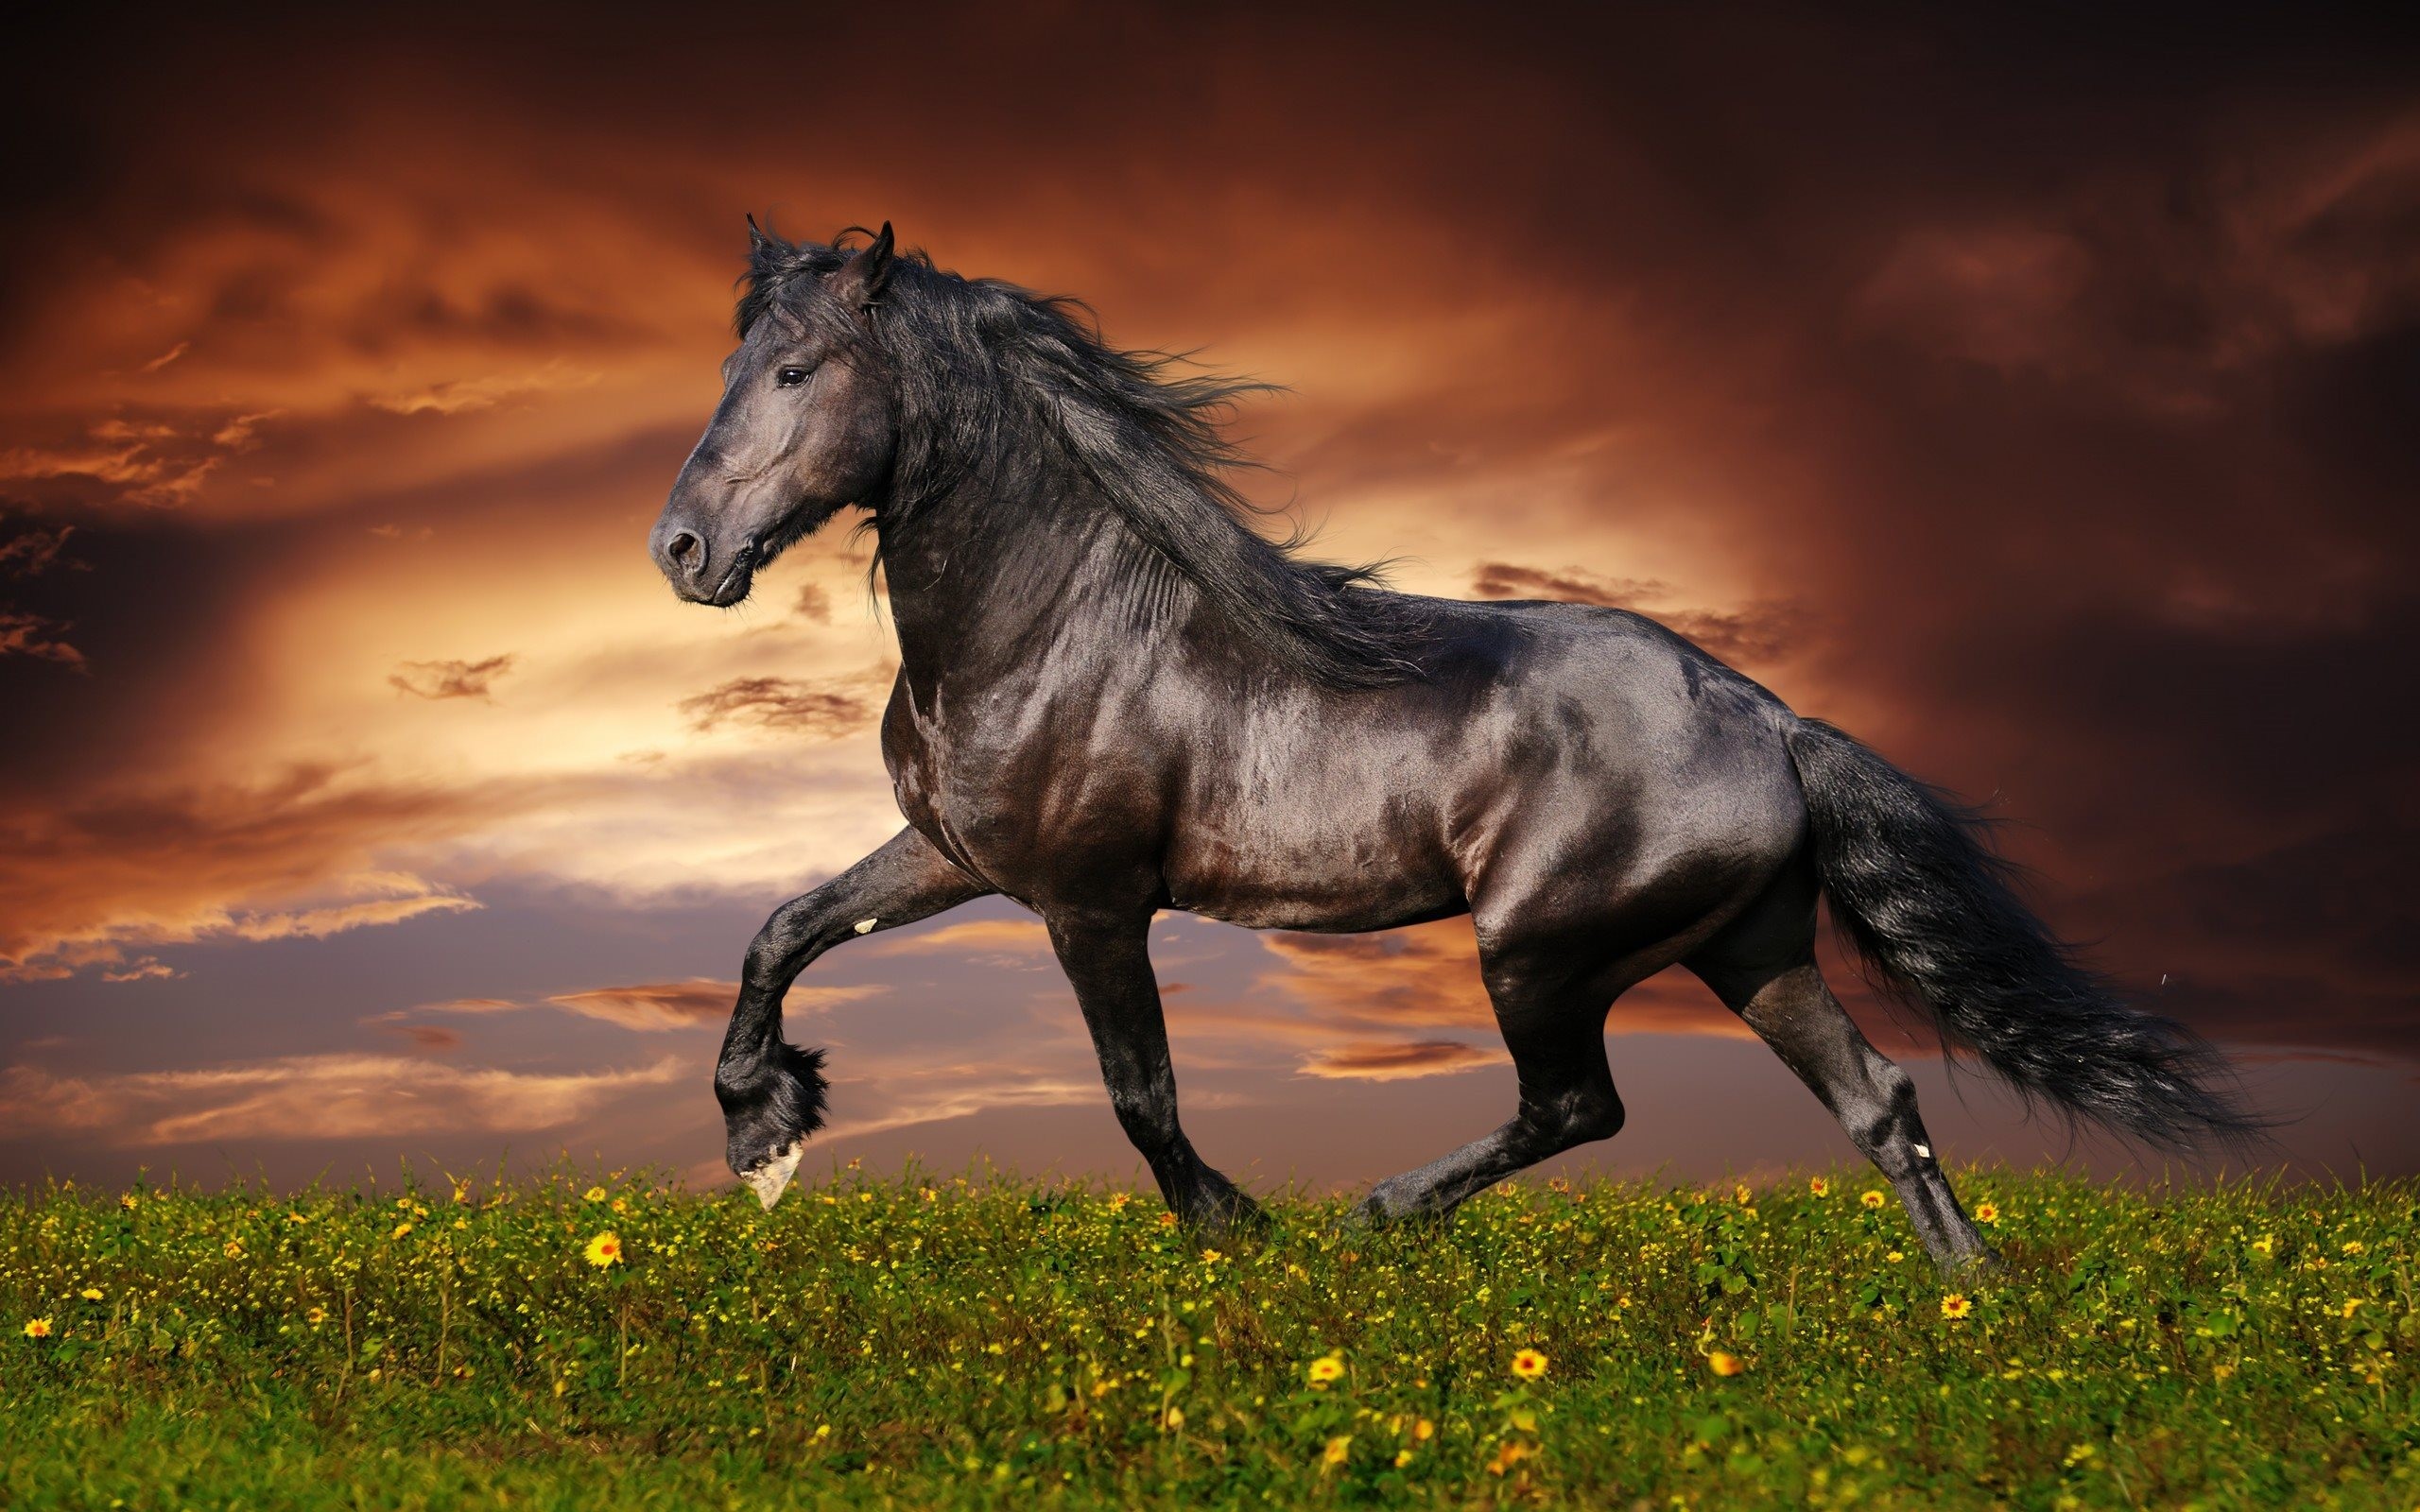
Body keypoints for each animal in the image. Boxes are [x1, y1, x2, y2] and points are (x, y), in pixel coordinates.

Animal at [647, 221, 2259, 1268]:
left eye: (795, 374)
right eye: (734, 367)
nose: (682, 550)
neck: (1052, 624)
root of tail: (1774, 723)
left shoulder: (1090, 901)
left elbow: (1140, 1093)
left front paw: (1239, 1232)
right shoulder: (955, 855)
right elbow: (782, 930)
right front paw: (763, 1135)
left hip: (1540, 948)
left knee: (1581, 1104)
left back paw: (1379, 1214)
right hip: (1751, 947)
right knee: (1880, 1103)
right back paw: (1975, 1310)